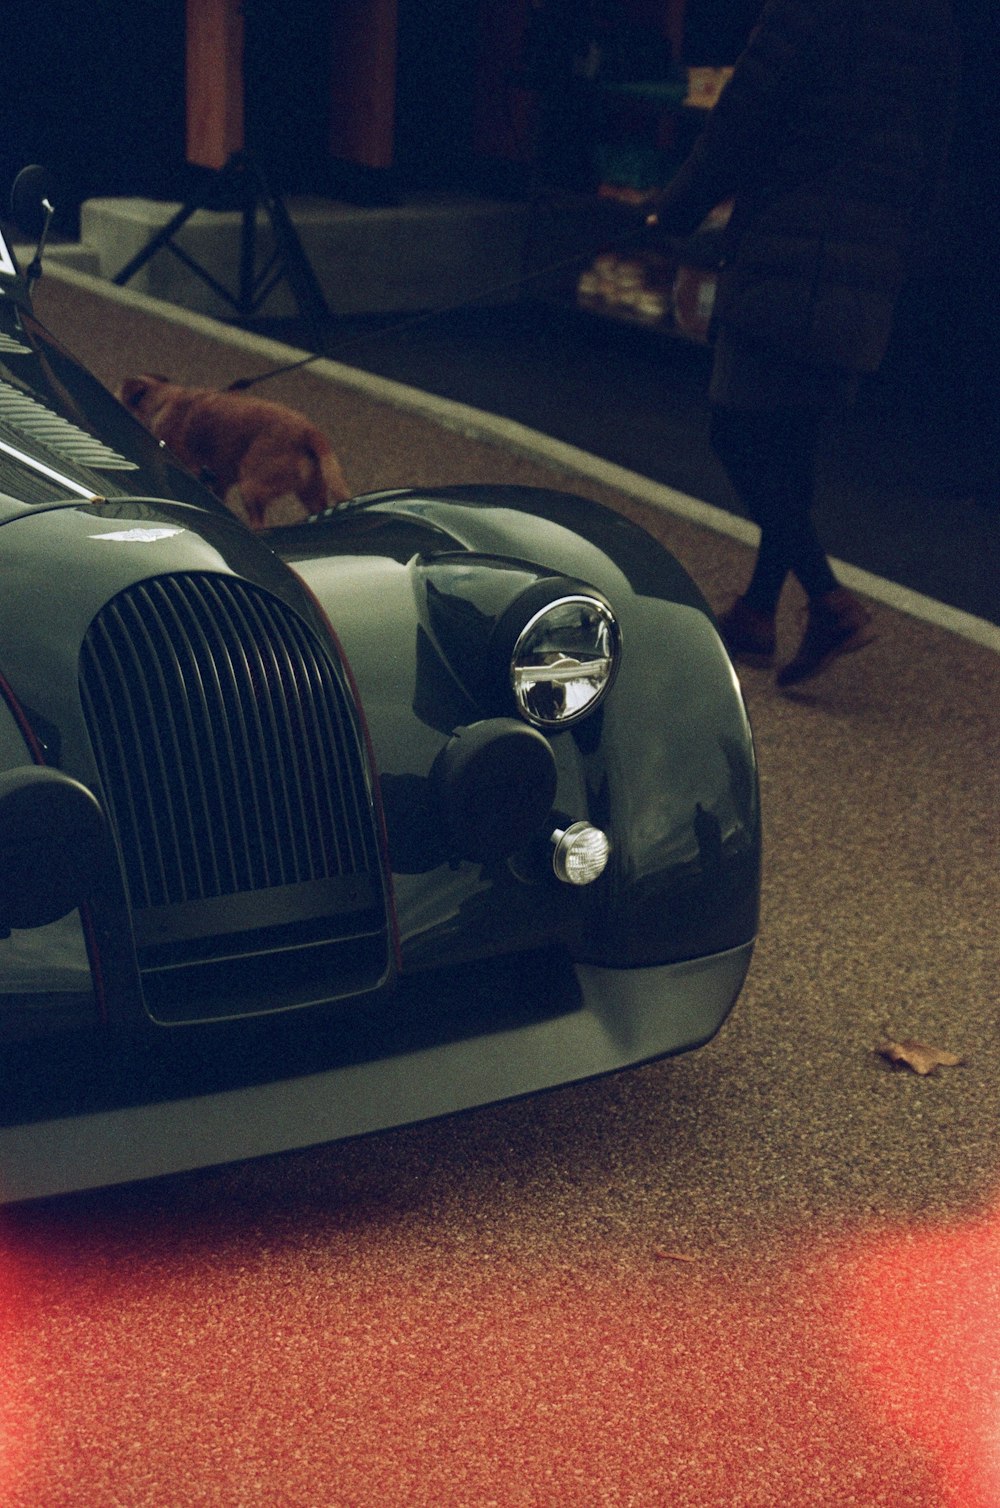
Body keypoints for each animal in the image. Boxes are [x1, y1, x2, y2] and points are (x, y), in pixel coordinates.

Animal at [120, 375, 349, 530]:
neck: (162, 402)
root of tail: (308, 431)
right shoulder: (221, 478)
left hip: (250, 485)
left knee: (258, 523)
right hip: (310, 493)